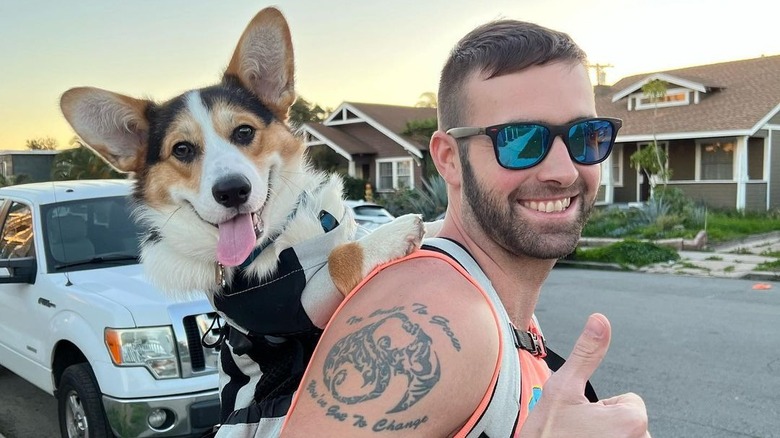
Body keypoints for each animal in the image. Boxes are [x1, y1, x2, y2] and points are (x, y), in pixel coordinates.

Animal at [60, 6, 426, 432]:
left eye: (244, 131)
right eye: (181, 150)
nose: (232, 190)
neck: (278, 241)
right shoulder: (291, 305)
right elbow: (340, 257)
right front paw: (396, 231)